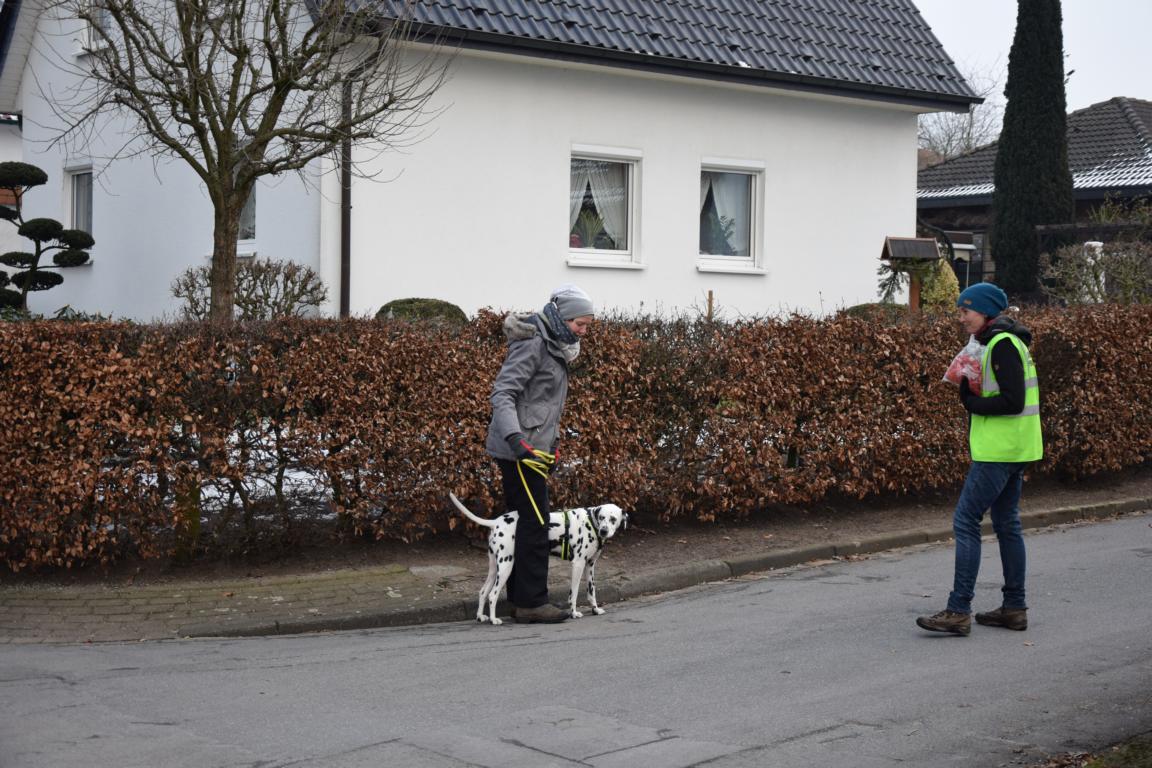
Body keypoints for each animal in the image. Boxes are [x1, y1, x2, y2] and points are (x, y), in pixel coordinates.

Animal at [449, 492, 631, 626]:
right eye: (602, 518)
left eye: (613, 519)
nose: (604, 531)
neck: (591, 522)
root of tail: (496, 522)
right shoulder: (578, 565)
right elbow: (574, 593)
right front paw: (573, 613)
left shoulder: (590, 565)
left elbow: (591, 591)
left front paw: (595, 609)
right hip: (506, 565)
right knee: (493, 595)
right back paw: (494, 619)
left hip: (495, 569)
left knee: (482, 592)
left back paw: (481, 616)